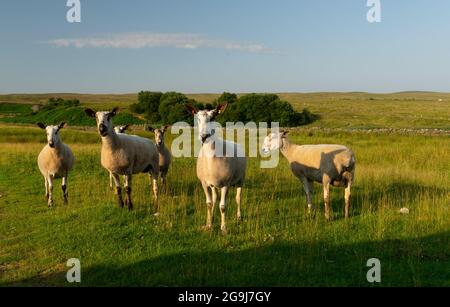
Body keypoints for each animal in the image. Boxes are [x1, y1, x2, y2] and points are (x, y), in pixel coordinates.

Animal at [185, 102, 246, 235]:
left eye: (213, 117)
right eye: (197, 118)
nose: (204, 137)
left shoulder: (226, 184)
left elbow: (223, 207)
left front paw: (223, 228)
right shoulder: (204, 183)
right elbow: (209, 203)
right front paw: (208, 224)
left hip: (241, 179)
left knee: (238, 198)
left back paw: (239, 217)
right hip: (214, 185)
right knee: (214, 199)